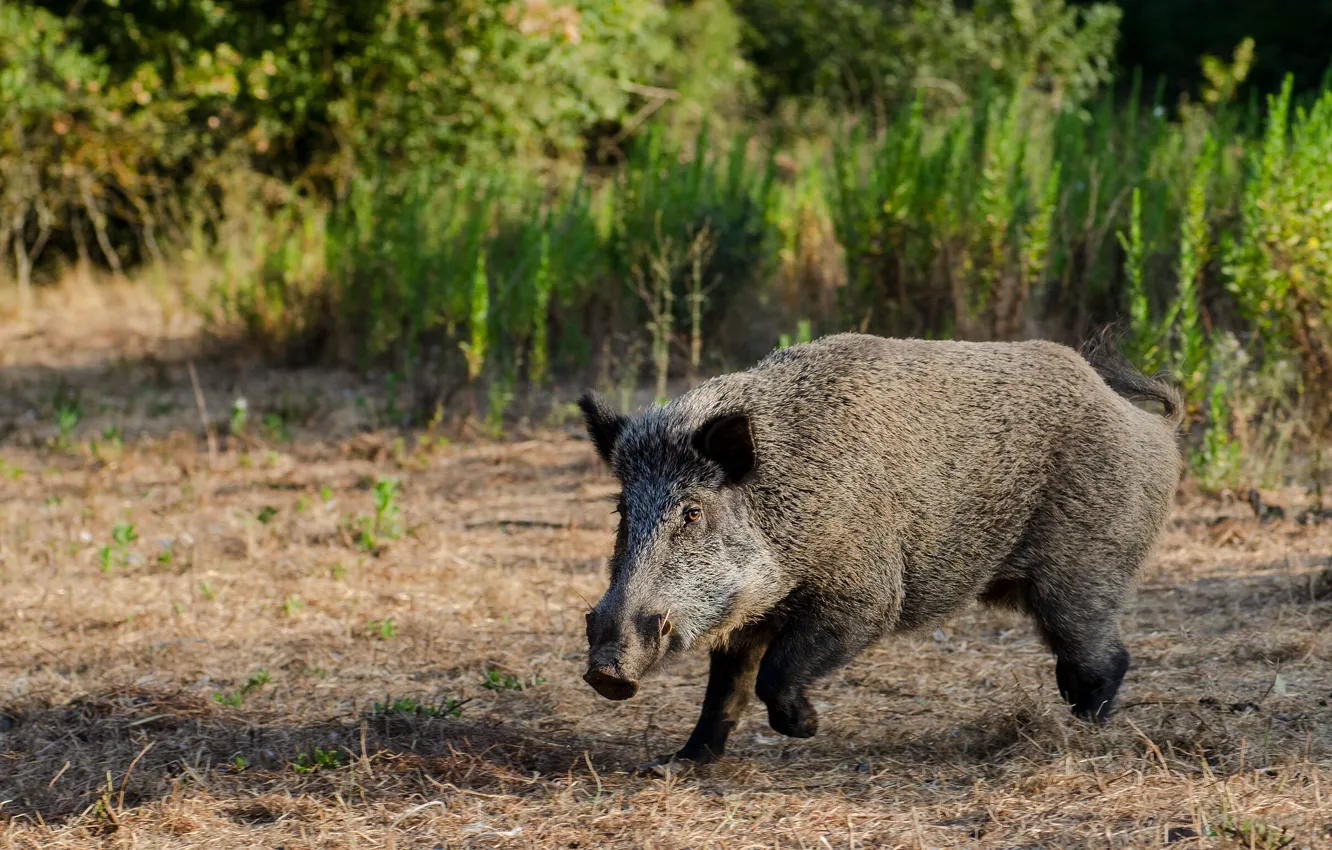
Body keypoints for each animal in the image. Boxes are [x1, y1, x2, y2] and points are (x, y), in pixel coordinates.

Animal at [577, 332, 1182, 769]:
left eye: (692, 512)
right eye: (622, 511)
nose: (606, 671)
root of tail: (1152, 425)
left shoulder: (866, 594)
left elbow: (776, 671)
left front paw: (808, 729)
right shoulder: (744, 618)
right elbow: (725, 691)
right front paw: (675, 765)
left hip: (1085, 569)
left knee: (1106, 654)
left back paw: (1081, 734)